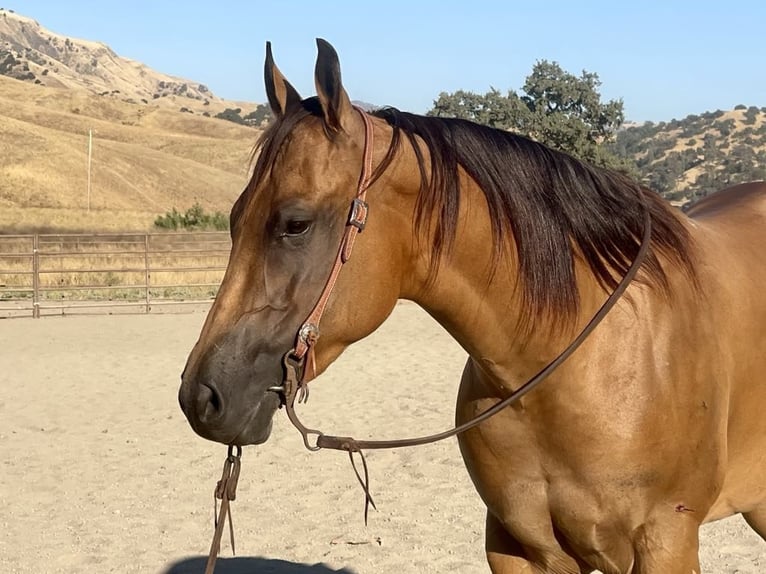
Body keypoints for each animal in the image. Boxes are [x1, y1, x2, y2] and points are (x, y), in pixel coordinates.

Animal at [180, 38, 766, 572]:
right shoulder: (516, 545)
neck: (569, 363)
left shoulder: (664, 540)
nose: (201, 398)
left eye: (295, 223)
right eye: (234, 218)